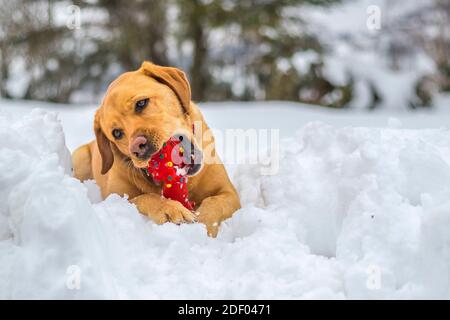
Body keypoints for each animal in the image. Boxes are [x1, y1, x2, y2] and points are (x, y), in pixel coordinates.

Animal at [73, 62, 243, 238]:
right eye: (117, 133)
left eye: (141, 103)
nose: (138, 147)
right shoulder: (116, 198)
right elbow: (146, 197)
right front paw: (170, 209)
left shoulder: (229, 192)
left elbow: (214, 202)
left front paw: (203, 225)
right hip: (79, 158)